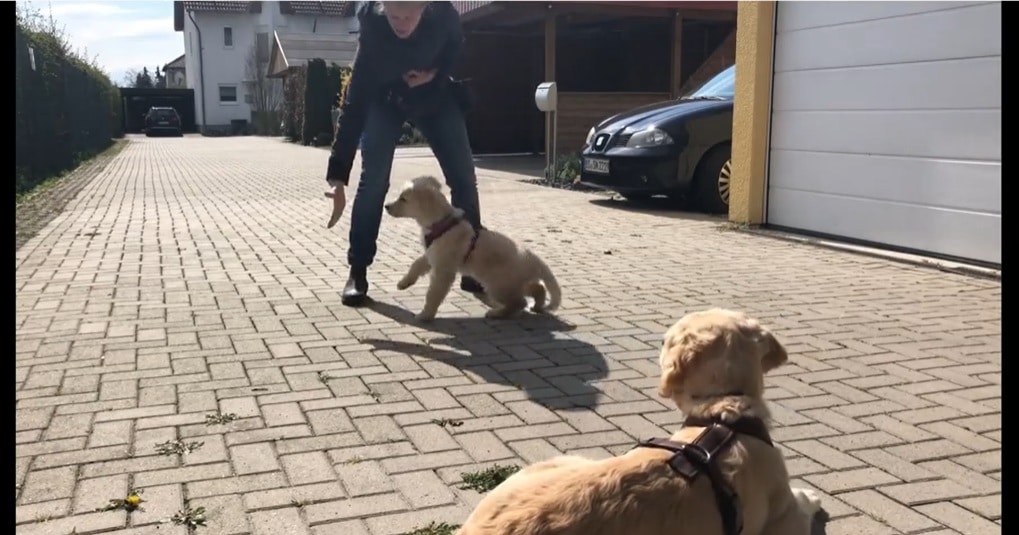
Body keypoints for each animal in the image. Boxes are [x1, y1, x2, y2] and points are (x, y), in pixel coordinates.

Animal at [383, 175, 562, 319]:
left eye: (403, 199)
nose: (386, 206)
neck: (443, 223)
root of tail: (534, 259)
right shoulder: (433, 254)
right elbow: (417, 264)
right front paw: (404, 283)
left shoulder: (443, 270)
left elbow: (433, 293)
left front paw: (425, 315)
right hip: (512, 283)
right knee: (538, 289)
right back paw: (537, 306)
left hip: (498, 284)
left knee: (520, 302)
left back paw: (497, 313)